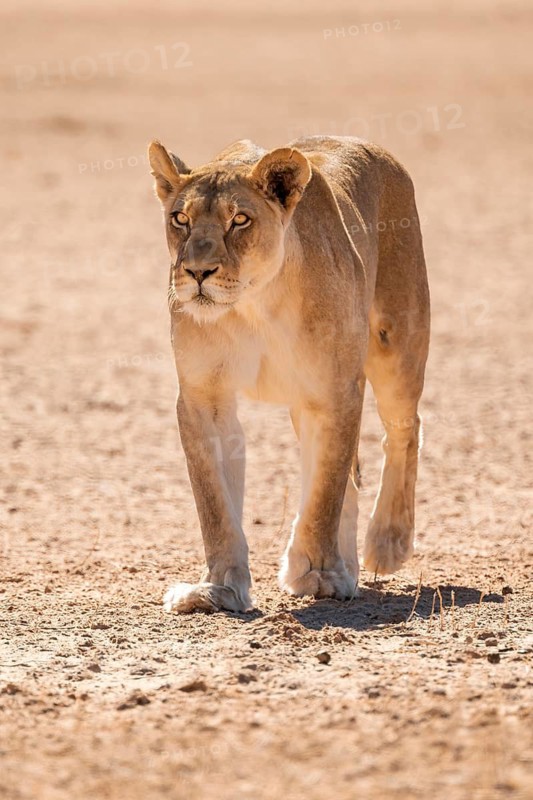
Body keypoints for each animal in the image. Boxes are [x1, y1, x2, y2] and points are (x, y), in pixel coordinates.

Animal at [148, 135, 430, 613]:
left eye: (240, 220)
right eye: (180, 219)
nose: (198, 273)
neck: (254, 306)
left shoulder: (336, 391)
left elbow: (323, 494)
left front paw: (319, 574)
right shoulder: (204, 398)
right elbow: (215, 504)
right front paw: (218, 588)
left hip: (397, 343)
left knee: (403, 431)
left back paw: (387, 543)